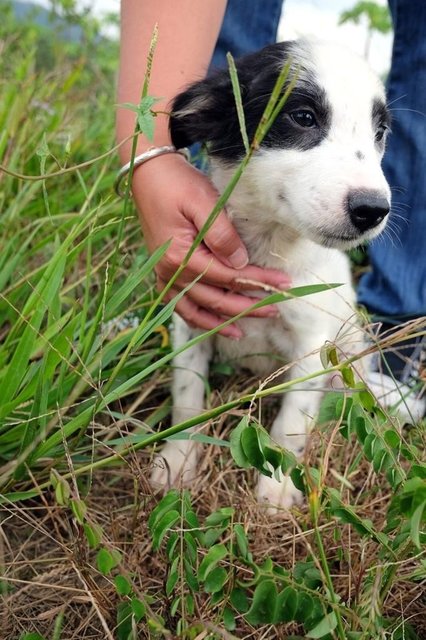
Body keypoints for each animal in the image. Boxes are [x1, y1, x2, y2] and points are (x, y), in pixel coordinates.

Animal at [151, 38, 392, 510]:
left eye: (379, 134)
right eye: (303, 117)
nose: (373, 210)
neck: (268, 251)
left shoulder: (312, 342)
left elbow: (292, 420)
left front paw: (277, 486)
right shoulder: (193, 320)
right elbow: (187, 397)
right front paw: (178, 459)